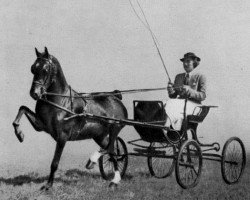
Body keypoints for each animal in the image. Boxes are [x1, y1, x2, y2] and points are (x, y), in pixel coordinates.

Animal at [12, 47, 128, 191]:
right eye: (33, 68)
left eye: (45, 69)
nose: (35, 93)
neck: (60, 101)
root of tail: (116, 98)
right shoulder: (40, 125)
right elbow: (22, 108)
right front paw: (19, 134)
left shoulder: (62, 136)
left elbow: (54, 162)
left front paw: (48, 185)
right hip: (100, 136)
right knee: (112, 153)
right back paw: (114, 180)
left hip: (115, 128)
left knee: (111, 149)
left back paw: (93, 161)